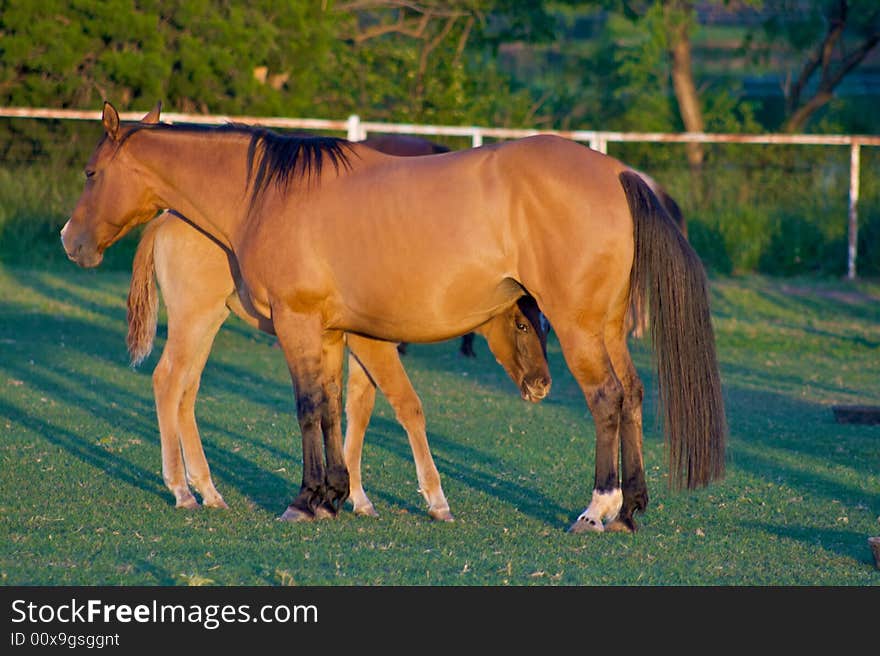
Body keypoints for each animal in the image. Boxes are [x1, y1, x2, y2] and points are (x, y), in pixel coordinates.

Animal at [124, 210, 552, 516]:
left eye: (546, 326)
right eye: (521, 324)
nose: (542, 385)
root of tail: (163, 218)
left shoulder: (354, 344)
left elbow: (357, 412)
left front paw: (355, 498)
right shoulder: (371, 343)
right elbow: (407, 406)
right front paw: (435, 498)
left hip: (209, 321)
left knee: (187, 390)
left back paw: (208, 490)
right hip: (194, 320)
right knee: (167, 381)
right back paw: (181, 491)